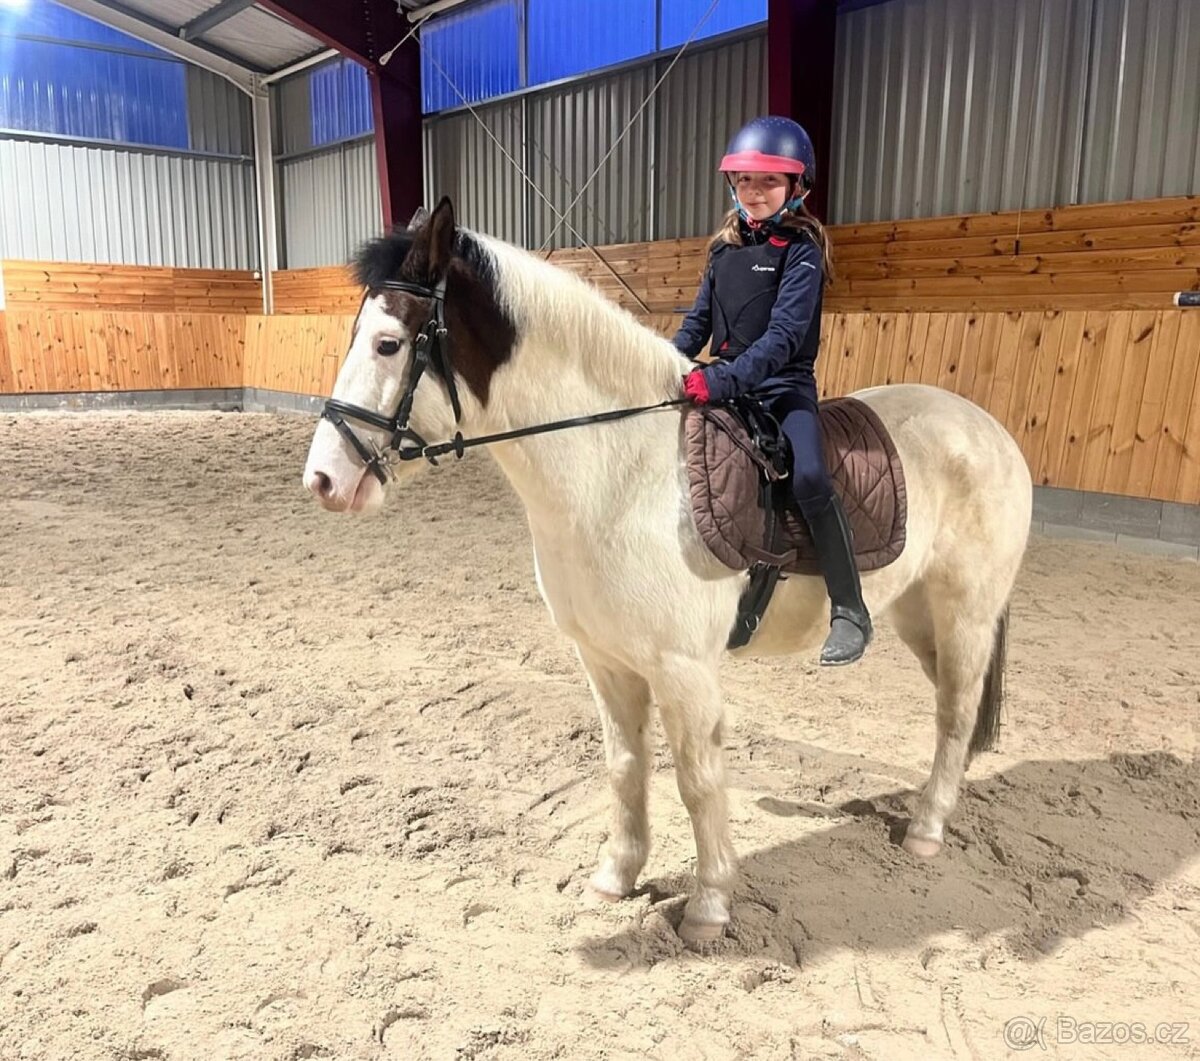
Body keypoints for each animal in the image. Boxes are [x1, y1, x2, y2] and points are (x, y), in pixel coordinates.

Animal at [302, 198, 1033, 947]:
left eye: (389, 344)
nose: (323, 480)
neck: (620, 474)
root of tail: (987, 426)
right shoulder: (603, 659)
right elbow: (626, 766)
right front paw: (616, 875)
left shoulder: (685, 668)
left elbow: (698, 778)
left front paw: (709, 904)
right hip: (918, 613)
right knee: (953, 704)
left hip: (965, 611)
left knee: (956, 710)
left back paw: (926, 828)